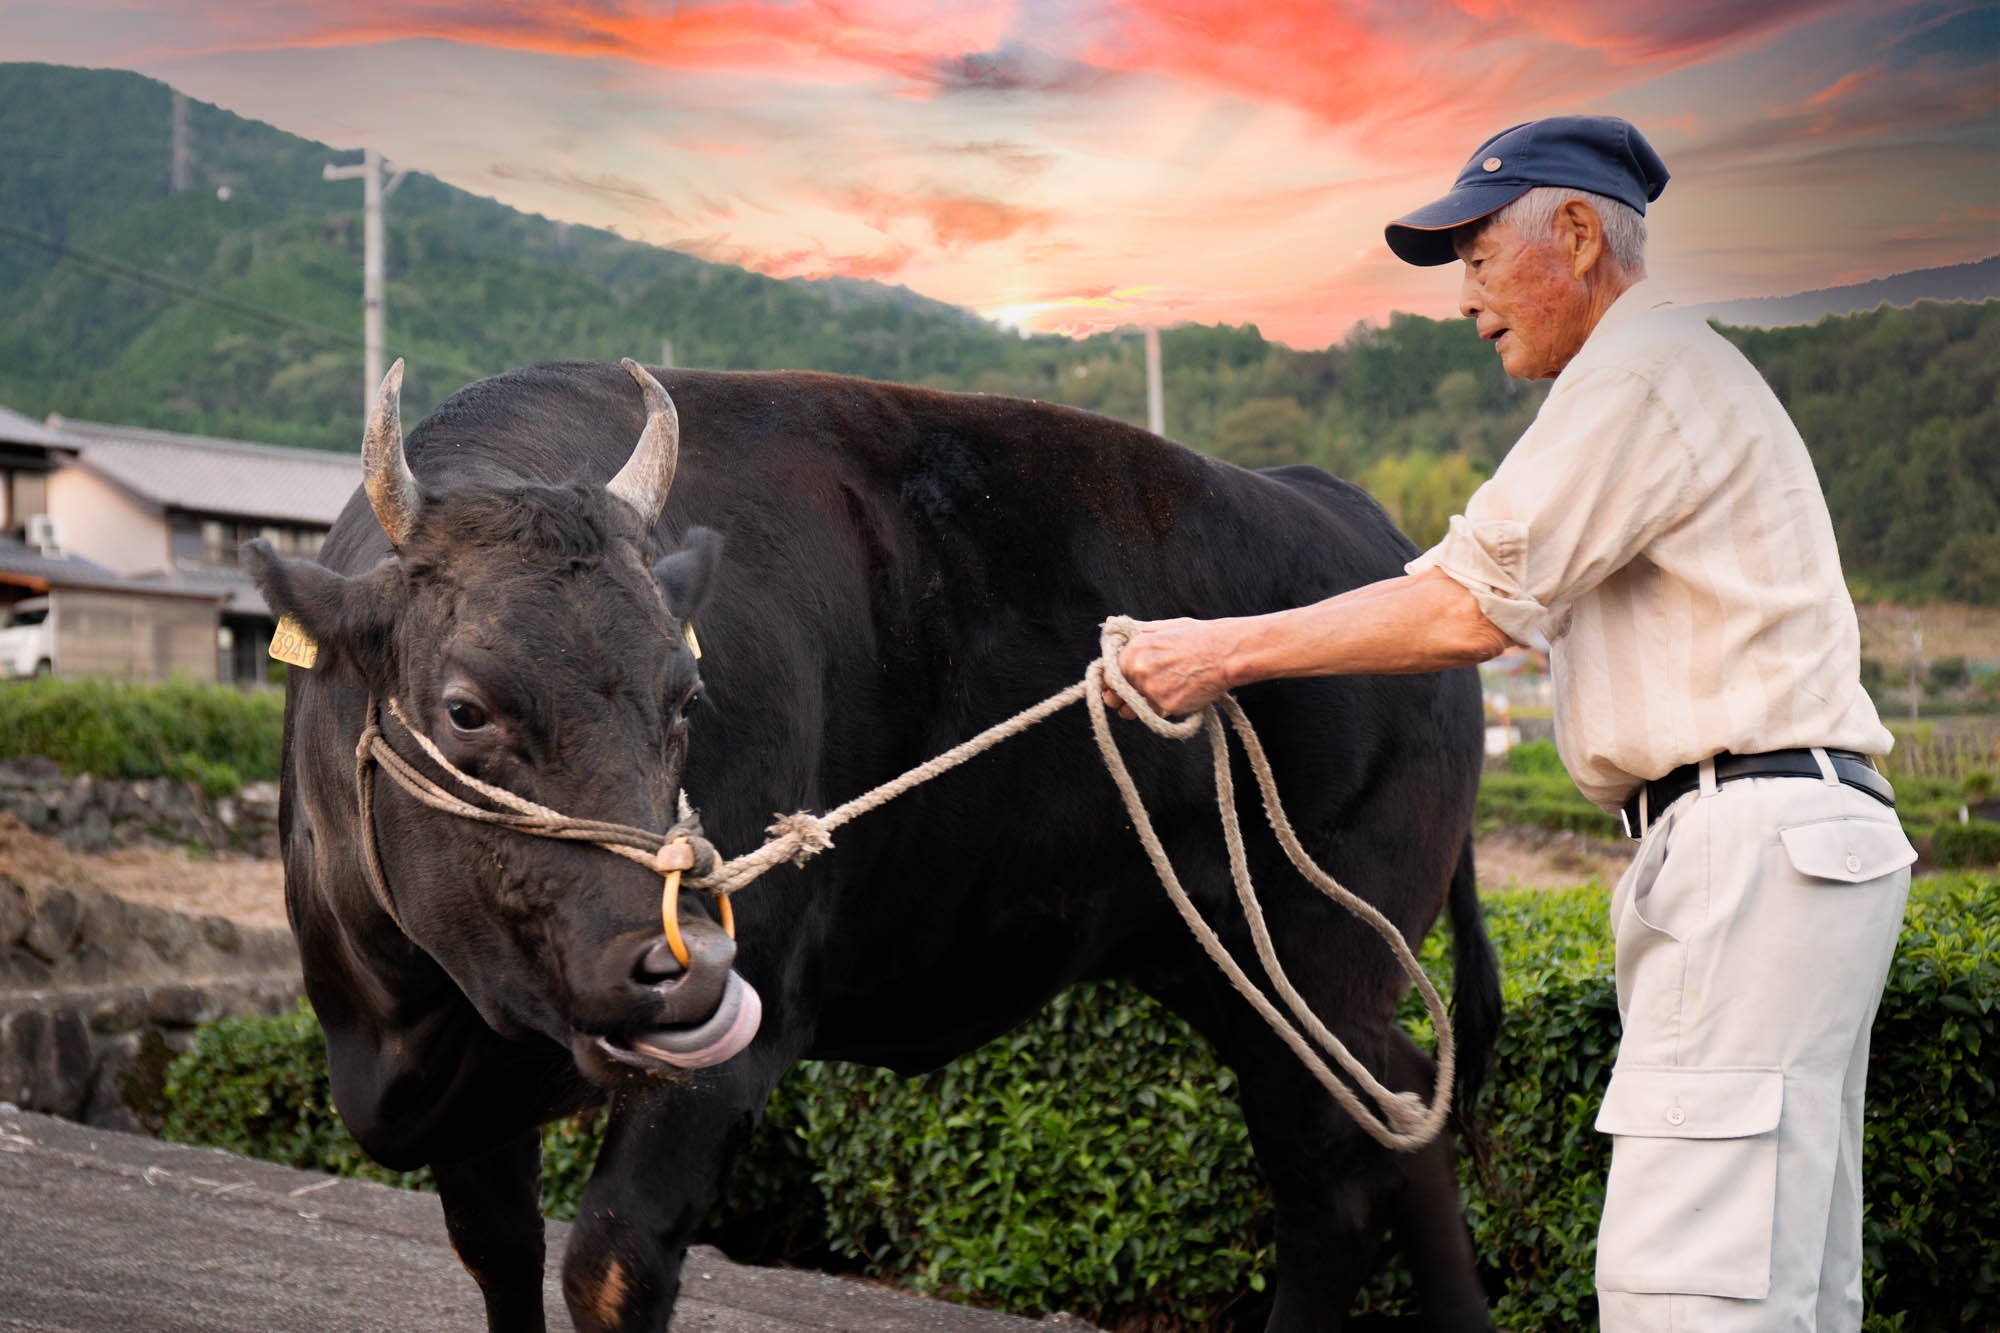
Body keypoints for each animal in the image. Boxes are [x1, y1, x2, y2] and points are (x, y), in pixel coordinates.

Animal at [246, 358, 1504, 1320]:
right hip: (1226, 965)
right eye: (465, 708)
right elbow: (500, 1257)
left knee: (1350, 1163)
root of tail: (1380, 533)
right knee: (1386, 1133)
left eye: (686, 695)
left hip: (1322, 952)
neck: (415, 1021)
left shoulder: (732, 1048)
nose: (687, 965)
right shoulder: (469, 1100)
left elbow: (607, 1265)